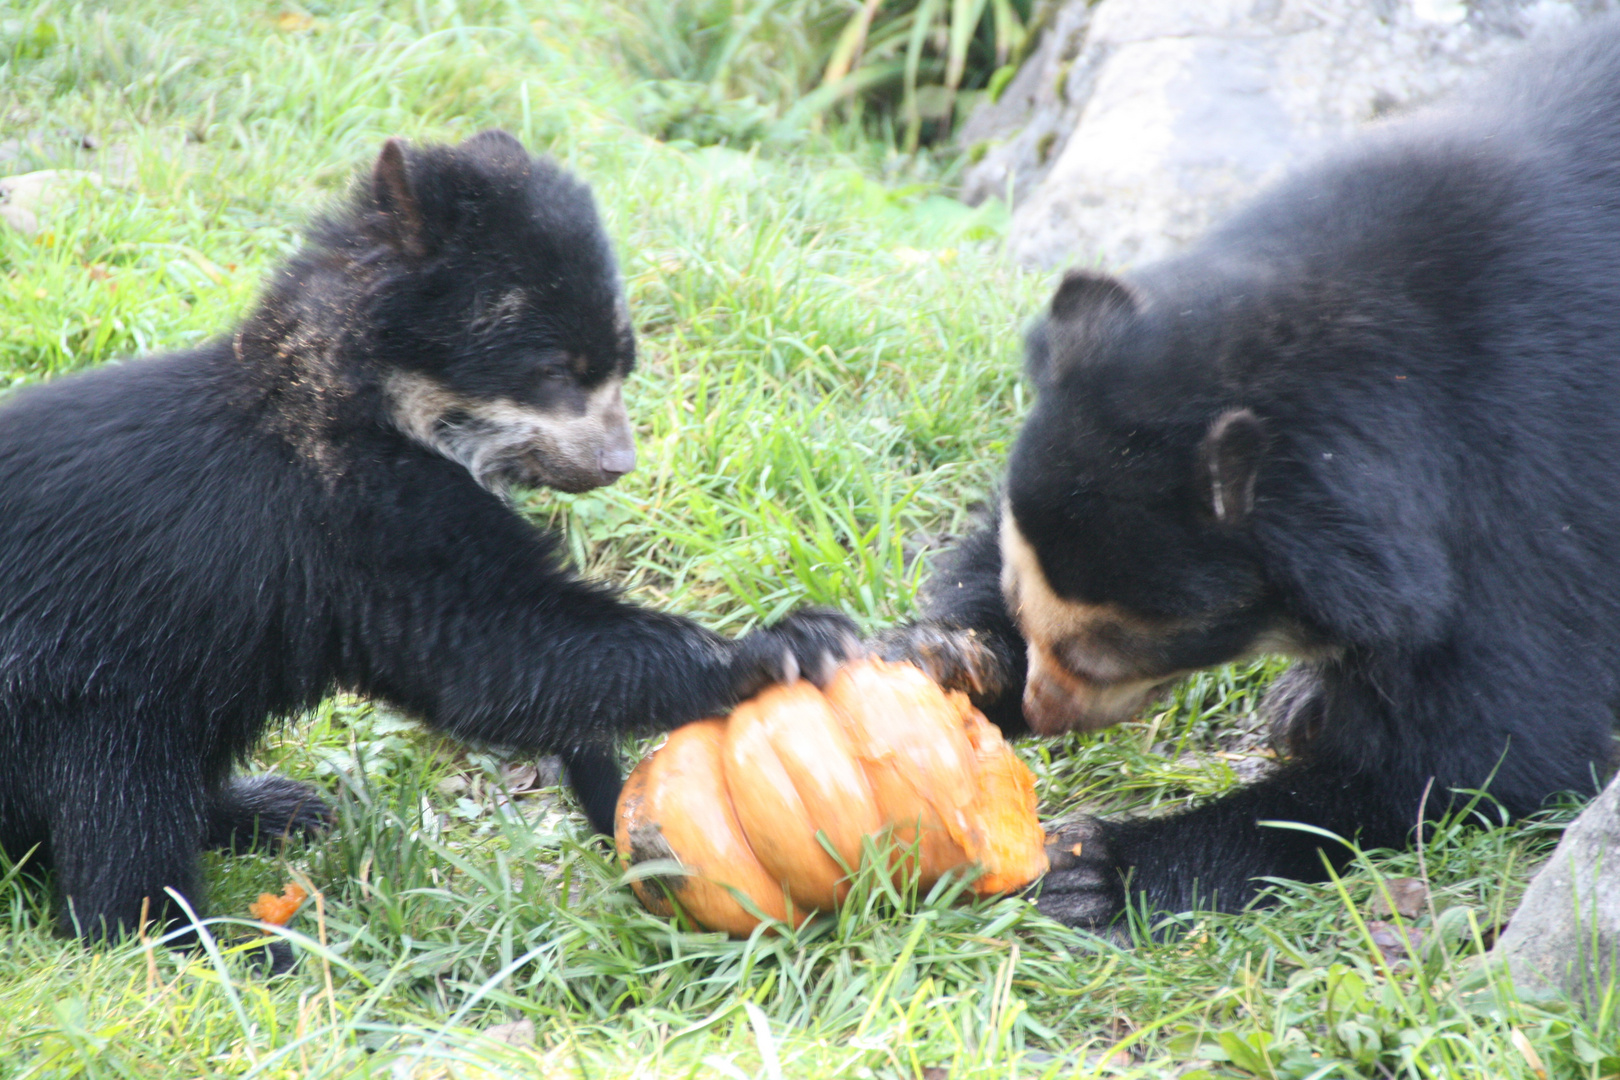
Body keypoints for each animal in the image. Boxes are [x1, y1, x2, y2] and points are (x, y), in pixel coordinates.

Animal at [0, 131, 855, 952]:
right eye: (557, 369)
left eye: (623, 365)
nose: (619, 463)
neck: (376, 398)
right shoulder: (365, 522)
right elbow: (498, 650)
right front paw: (787, 645)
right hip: (81, 687)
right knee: (122, 810)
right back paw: (212, 944)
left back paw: (272, 810)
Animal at [887, 25, 1620, 932]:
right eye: (1023, 600)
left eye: (1111, 645)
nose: (1041, 711)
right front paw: (940, 656)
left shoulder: (1534, 473)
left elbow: (1491, 742)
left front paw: (1097, 869)